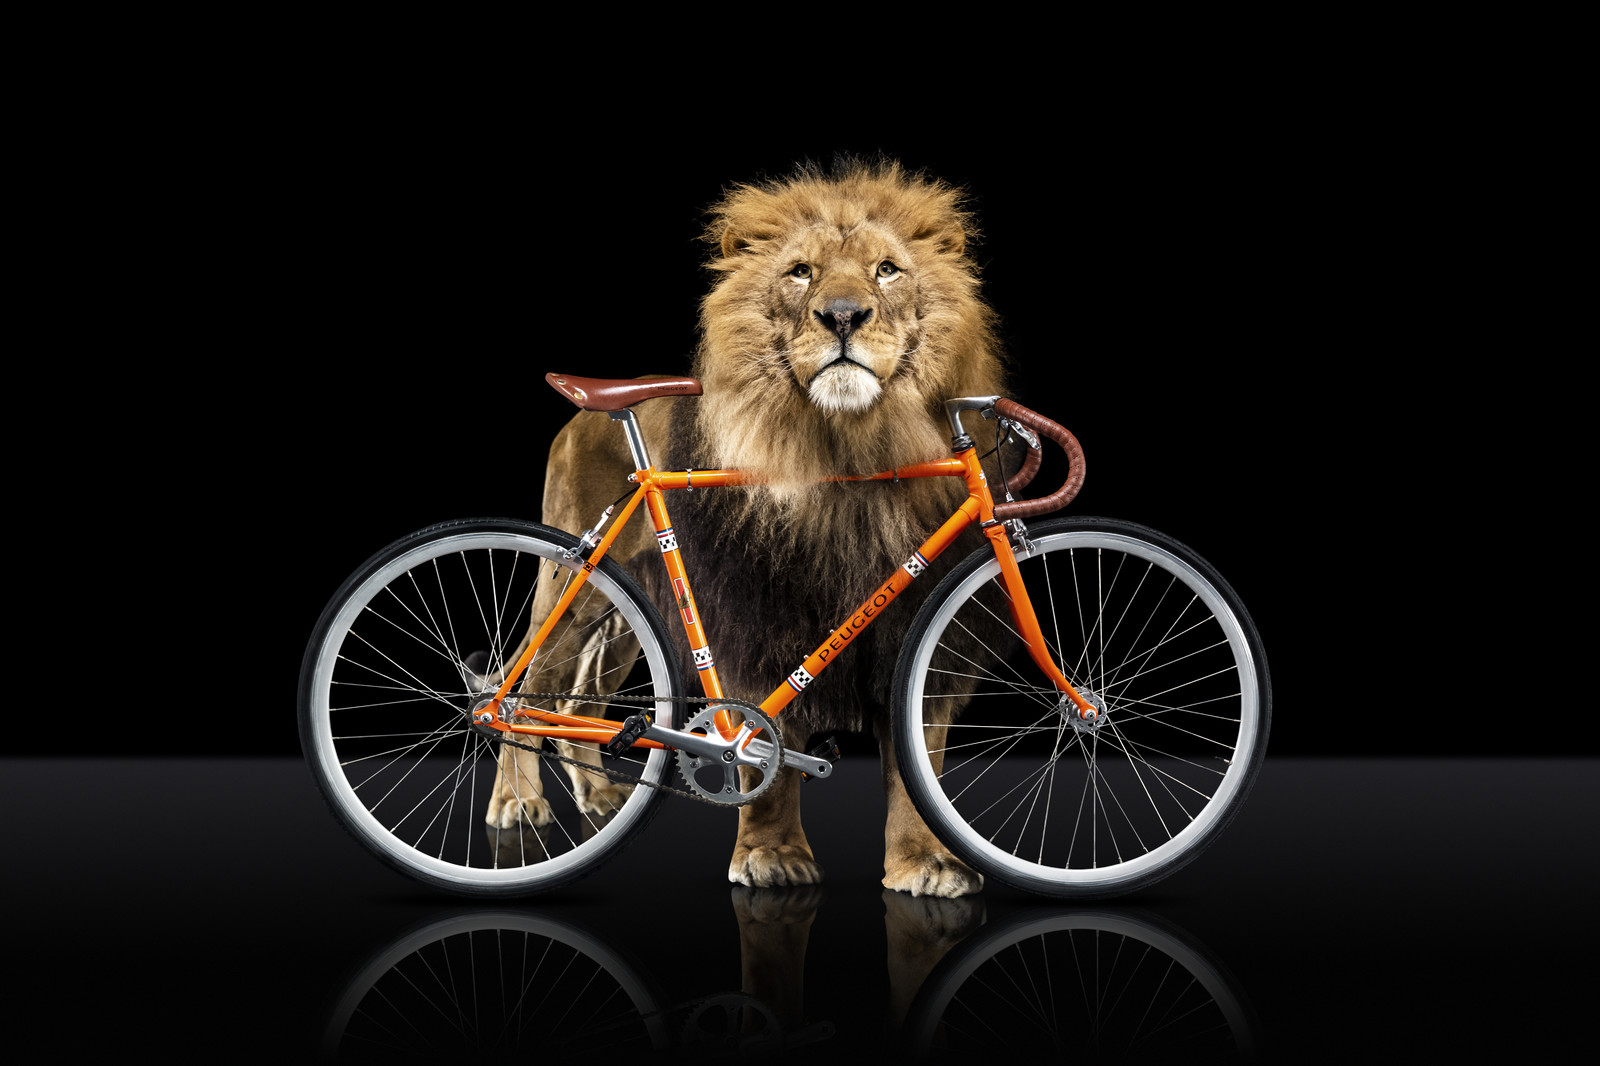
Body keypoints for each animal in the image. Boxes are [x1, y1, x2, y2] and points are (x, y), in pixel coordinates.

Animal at [489, 159, 1009, 898]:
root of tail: (590, 410)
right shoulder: (754, 614)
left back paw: (598, 798)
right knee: (517, 683)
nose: (843, 315)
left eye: (887, 270)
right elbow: (766, 740)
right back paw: (516, 802)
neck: (845, 451)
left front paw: (926, 863)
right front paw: (770, 856)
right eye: (800, 272)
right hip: (576, 584)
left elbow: (918, 754)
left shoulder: (919, 624)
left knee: (576, 698)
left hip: (623, 608)